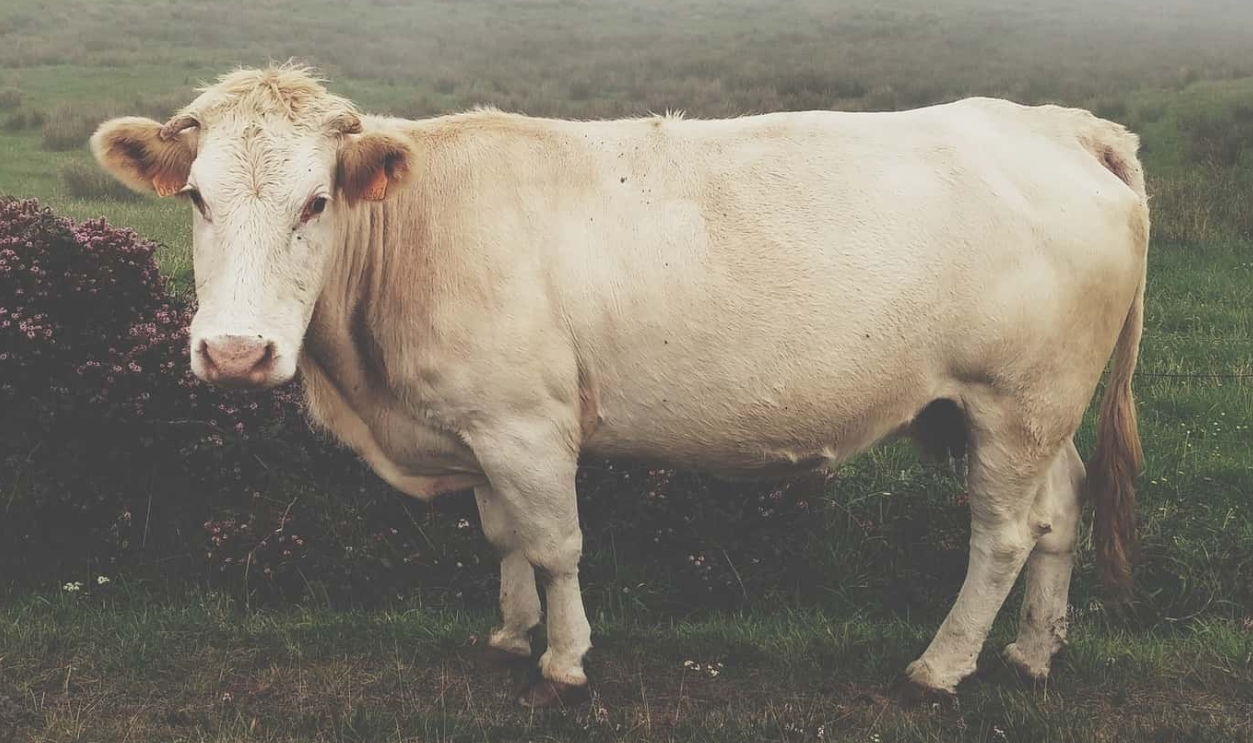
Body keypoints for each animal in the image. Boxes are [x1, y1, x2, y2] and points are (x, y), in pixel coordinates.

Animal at [91, 64, 1148, 707]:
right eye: (197, 198)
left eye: (315, 202)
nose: (235, 353)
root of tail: (1057, 123)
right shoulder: (481, 429)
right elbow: (503, 536)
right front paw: (510, 634)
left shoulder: (526, 427)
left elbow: (556, 544)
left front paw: (563, 660)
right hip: (1011, 412)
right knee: (1056, 512)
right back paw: (1033, 649)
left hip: (1015, 401)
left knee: (1002, 534)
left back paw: (941, 665)